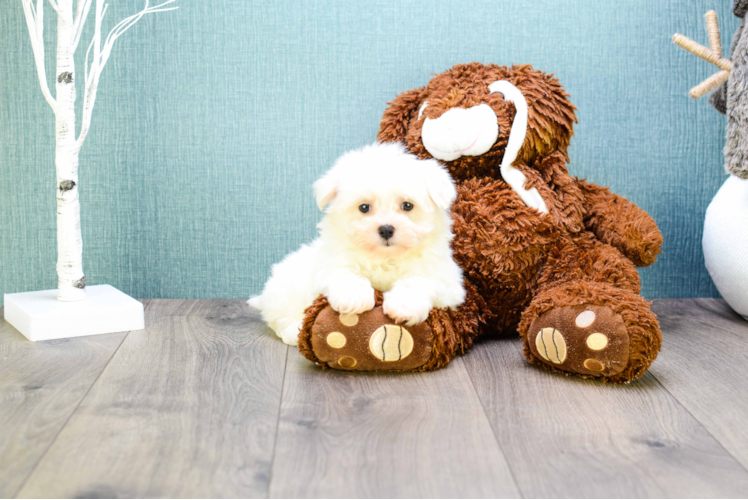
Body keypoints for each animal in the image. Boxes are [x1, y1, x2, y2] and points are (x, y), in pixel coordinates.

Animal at [248, 141, 464, 344]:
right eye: (364, 207)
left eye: (407, 205)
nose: (386, 229)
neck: (384, 258)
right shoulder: (329, 265)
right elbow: (344, 274)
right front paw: (354, 297)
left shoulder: (446, 281)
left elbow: (418, 280)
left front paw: (404, 305)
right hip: (286, 290)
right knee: (281, 318)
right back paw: (295, 331)